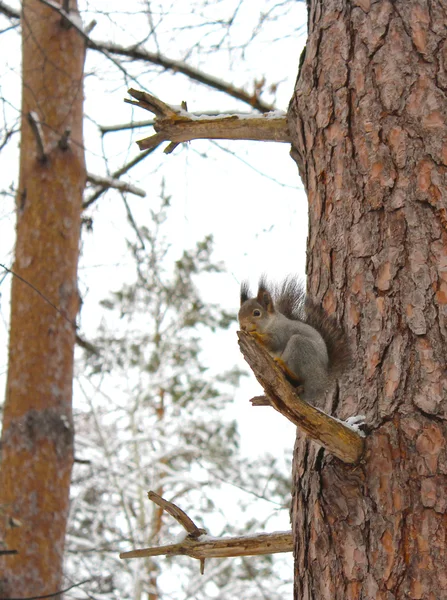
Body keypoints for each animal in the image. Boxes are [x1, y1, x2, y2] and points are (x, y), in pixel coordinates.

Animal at [240, 278, 352, 408]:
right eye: (239, 313)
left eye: (257, 313)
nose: (242, 326)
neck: (270, 323)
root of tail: (322, 381)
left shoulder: (281, 333)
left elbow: (273, 343)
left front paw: (255, 335)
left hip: (300, 346)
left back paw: (284, 367)